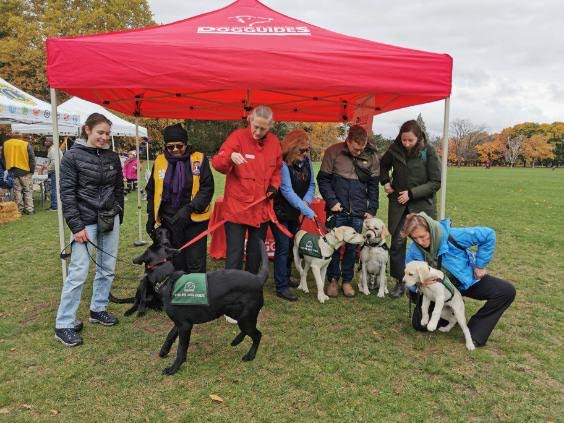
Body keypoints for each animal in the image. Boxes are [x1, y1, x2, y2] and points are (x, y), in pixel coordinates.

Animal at [132, 238, 268, 378]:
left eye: (145, 252)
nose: (133, 260)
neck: (167, 278)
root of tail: (258, 279)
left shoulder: (185, 326)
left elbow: (181, 349)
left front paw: (173, 368)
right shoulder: (180, 323)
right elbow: (170, 335)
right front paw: (164, 350)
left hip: (245, 317)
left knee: (257, 335)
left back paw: (250, 355)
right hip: (238, 314)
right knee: (248, 331)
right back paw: (236, 341)